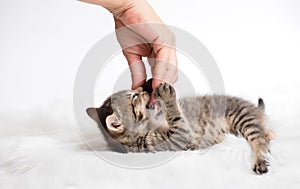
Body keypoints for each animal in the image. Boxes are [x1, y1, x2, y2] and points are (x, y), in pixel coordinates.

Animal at [86, 80, 274, 174]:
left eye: (136, 92)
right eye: (134, 97)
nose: (144, 90)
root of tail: (254, 109)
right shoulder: (176, 140)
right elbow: (177, 118)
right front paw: (167, 96)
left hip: (241, 118)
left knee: (261, 137)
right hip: (243, 119)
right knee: (260, 141)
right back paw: (260, 161)